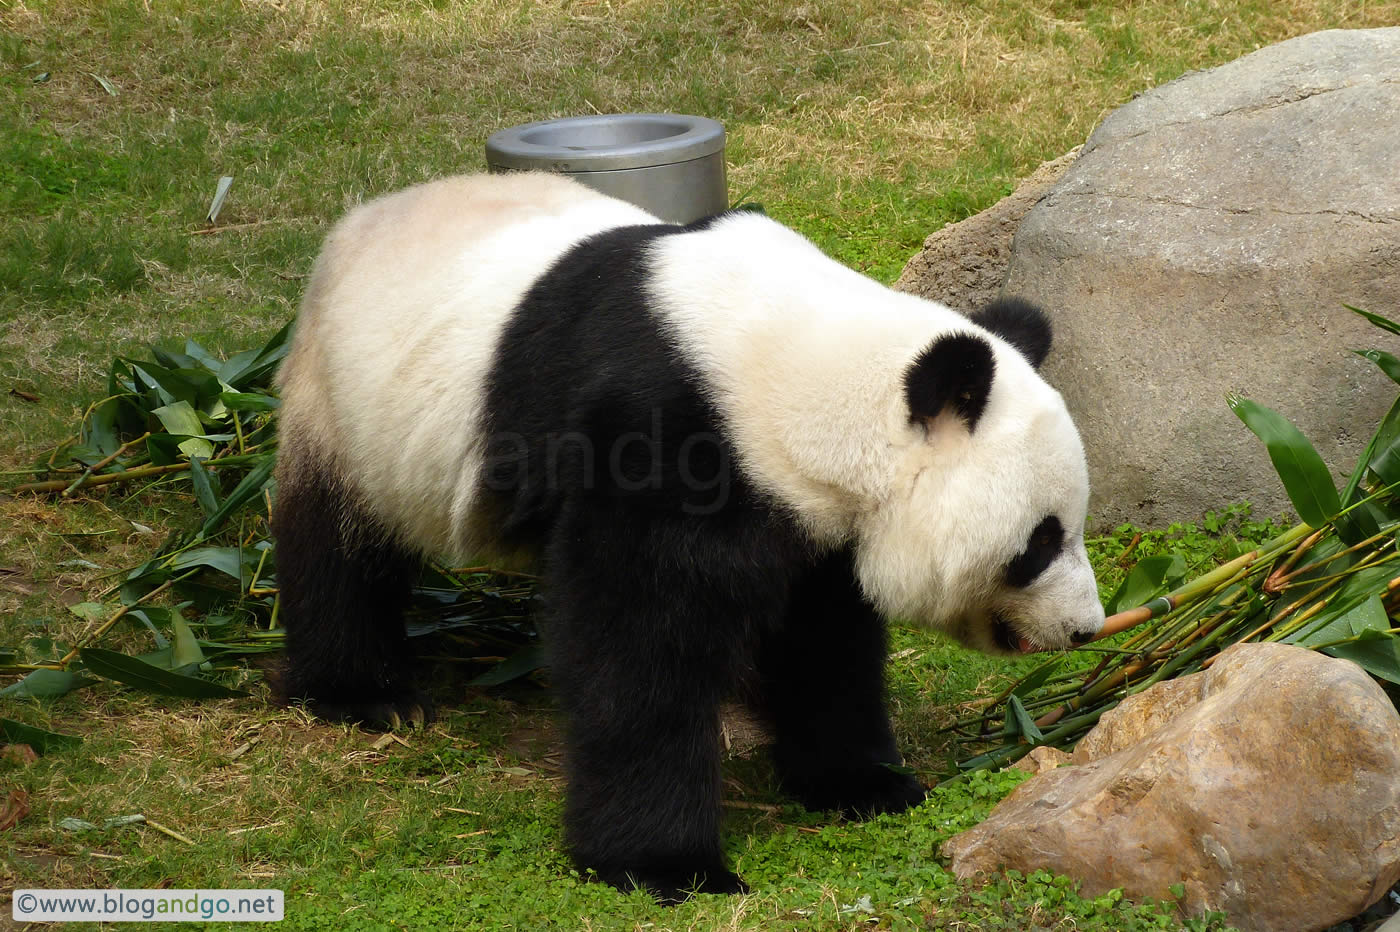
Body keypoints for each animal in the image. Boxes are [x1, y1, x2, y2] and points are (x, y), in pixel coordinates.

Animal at [271, 172, 1104, 902]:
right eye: (1041, 541)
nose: (1086, 629)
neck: (802, 373)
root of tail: (359, 219)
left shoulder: (811, 516)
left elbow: (822, 640)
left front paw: (862, 783)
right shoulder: (665, 441)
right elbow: (641, 648)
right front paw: (665, 865)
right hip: (346, 407)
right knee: (336, 549)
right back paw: (367, 695)